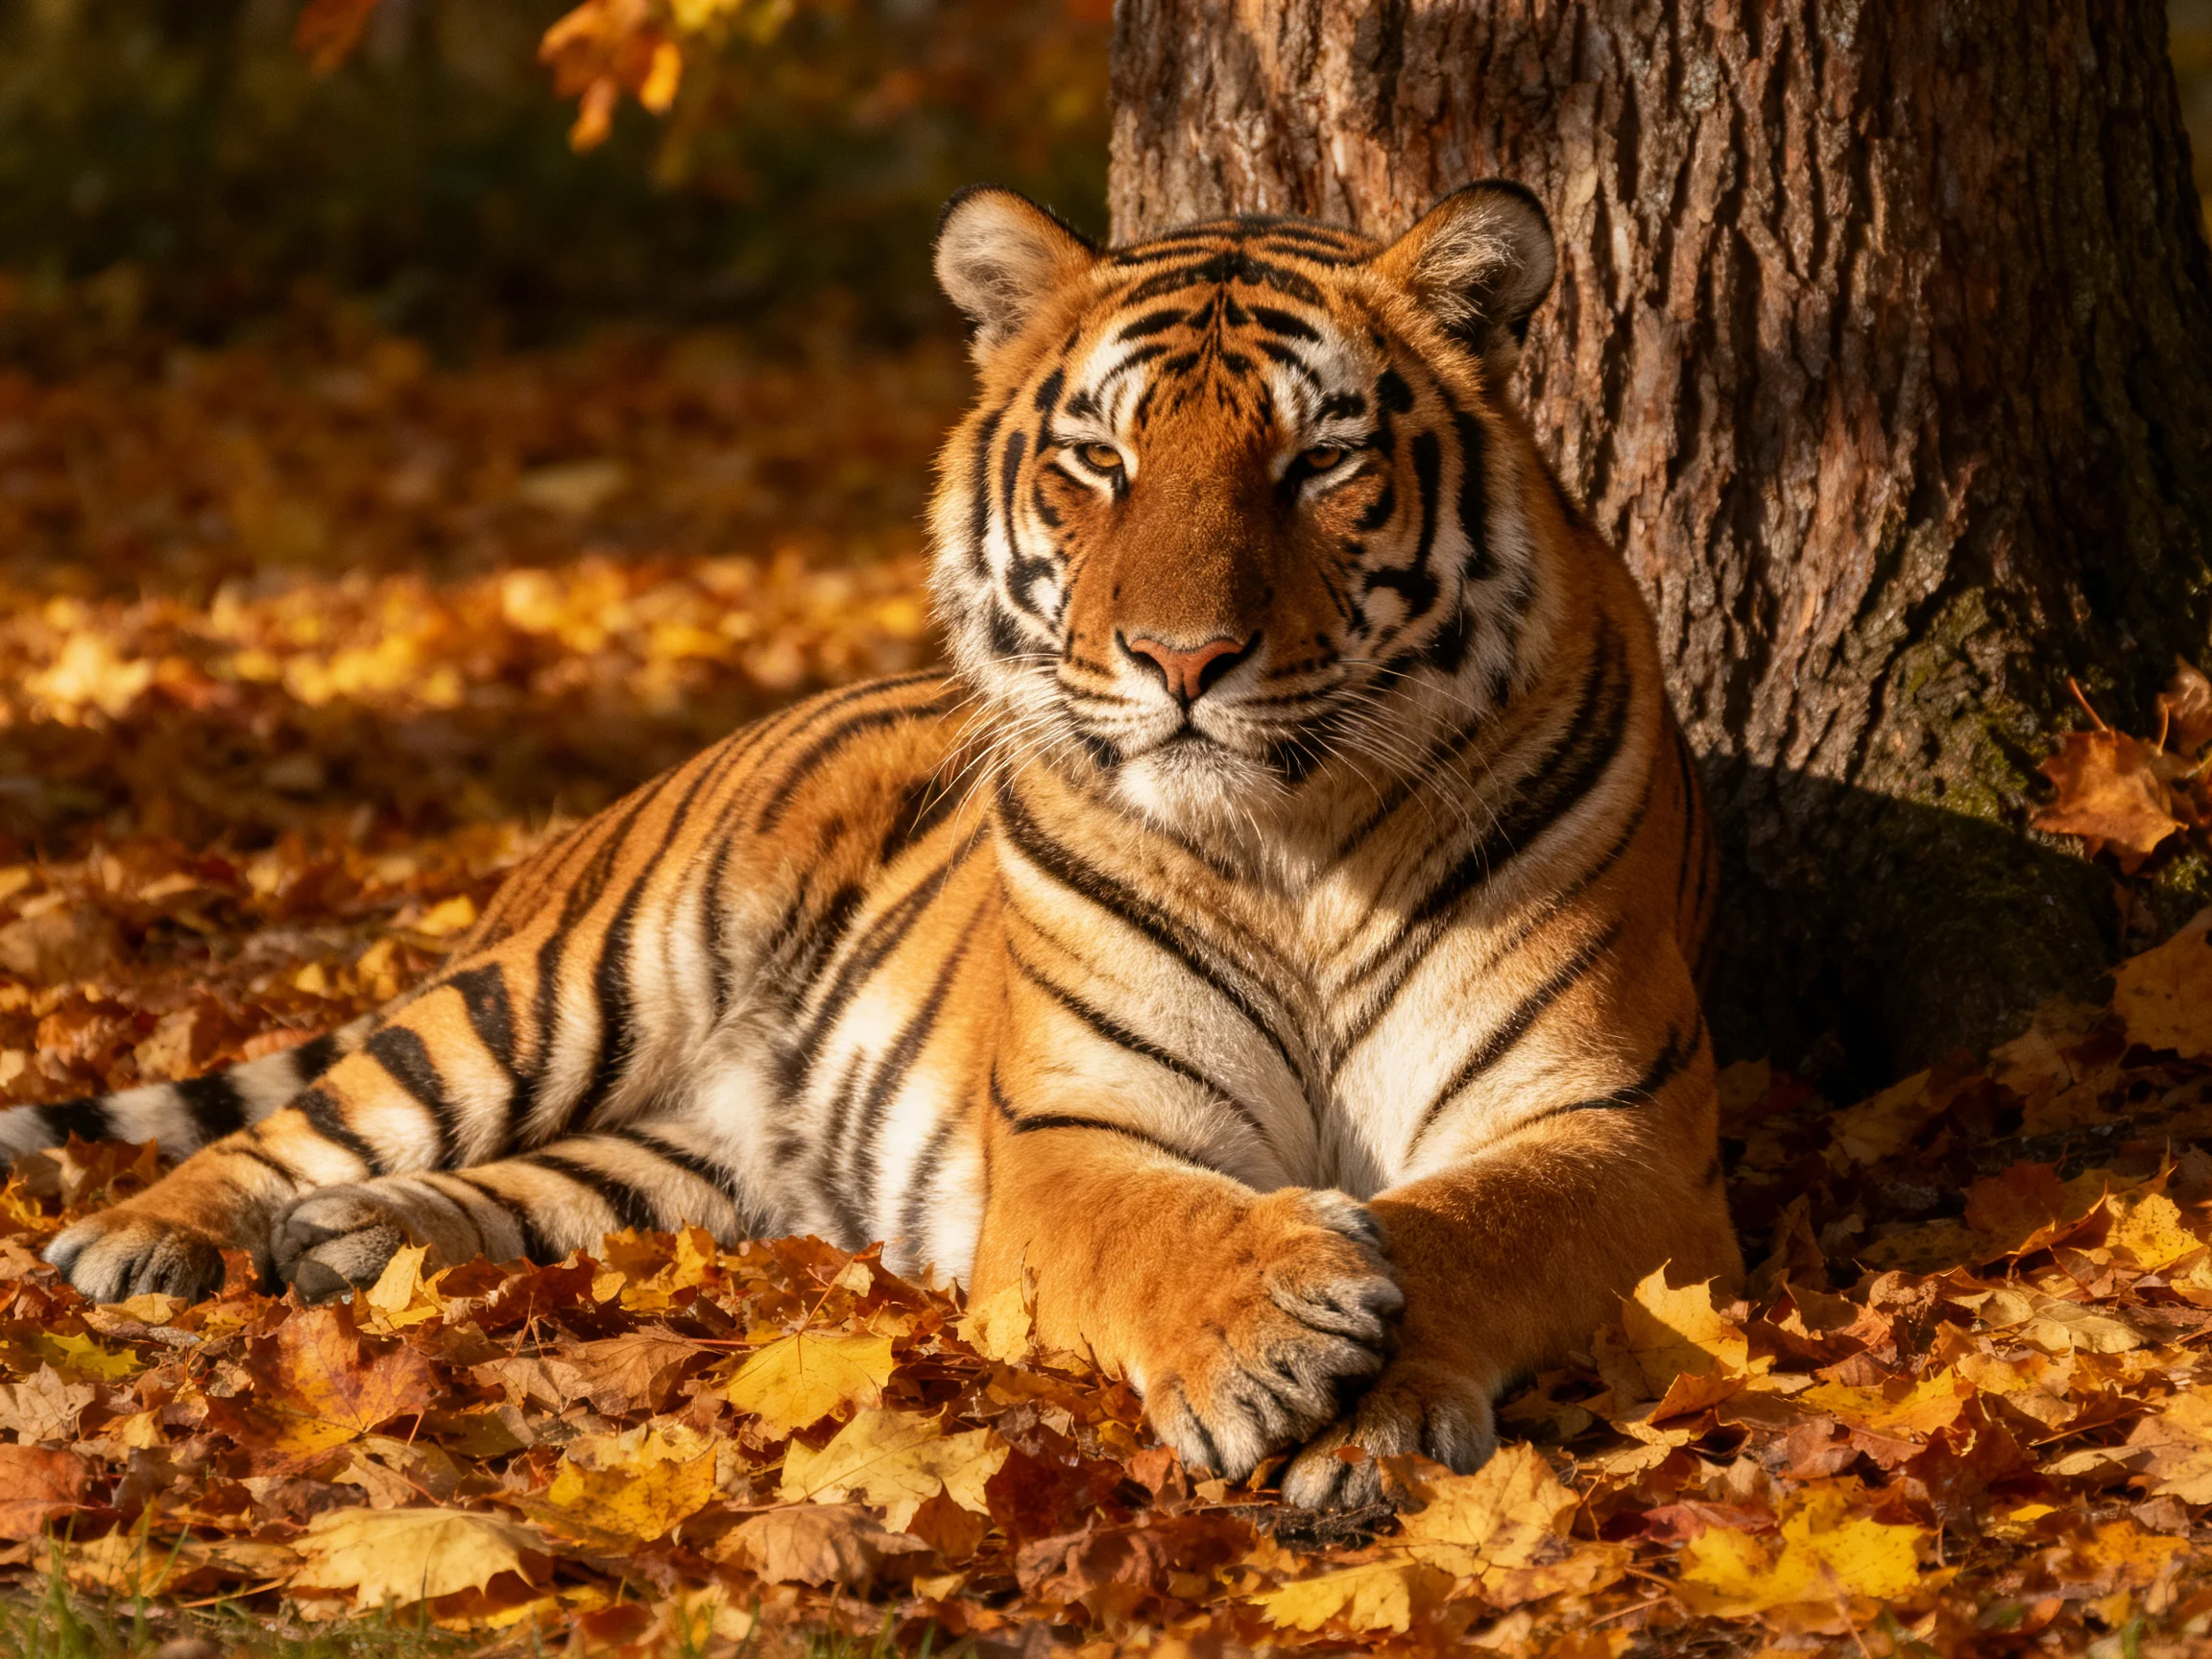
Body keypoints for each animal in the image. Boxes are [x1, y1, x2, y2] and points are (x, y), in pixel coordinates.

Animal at [3, 181, 1740, 1507]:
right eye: (1100, 459)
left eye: (1319, 460)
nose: (1180, 661)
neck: (1293, 847)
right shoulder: (1071, 1125)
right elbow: (1161, 1222)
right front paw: (1280, 1323)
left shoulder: (1619, 1127)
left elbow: (1465, 1226)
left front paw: (1368, 1412)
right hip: (569, 987)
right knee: (301, 1121)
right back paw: (139, 1241)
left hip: (698, 1164)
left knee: (545, 1190)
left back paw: (355, 1240)